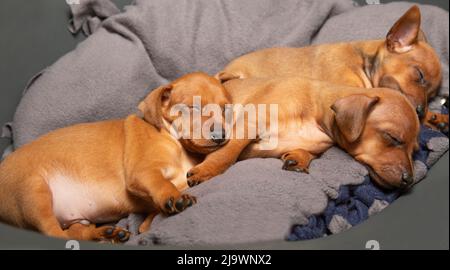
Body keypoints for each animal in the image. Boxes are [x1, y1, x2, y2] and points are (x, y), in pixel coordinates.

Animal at [0, 72, 230, 243]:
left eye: (225, 109)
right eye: (194, 108)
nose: (221, 136)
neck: (175, 142)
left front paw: (148, 222)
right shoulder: (143, 172)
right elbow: (161, 184)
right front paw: (174, 198)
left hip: (75, 218)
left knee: (74, 232)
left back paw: (106, 234)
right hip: (33, 193)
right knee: (53, 233)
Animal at [186, 77, 422, 191]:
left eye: (414, 150)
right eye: (393, 138)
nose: (409, 180)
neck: (314, 112)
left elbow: (306, 153)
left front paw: (297, 159)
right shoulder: (248, 124)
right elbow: (226, 153)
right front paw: (206, 170)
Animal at [215, 6, 446, 132]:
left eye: (433, 95)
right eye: (419, 75)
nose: (421, 110)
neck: (361, 62)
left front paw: (436, 117)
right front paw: (431, 117)